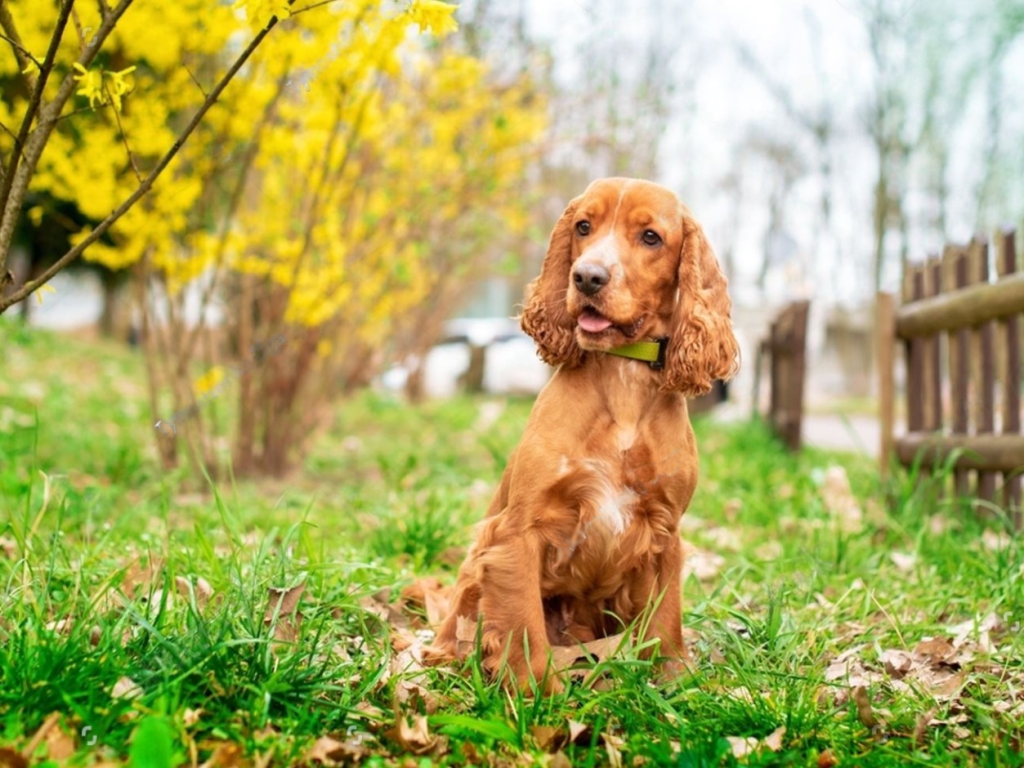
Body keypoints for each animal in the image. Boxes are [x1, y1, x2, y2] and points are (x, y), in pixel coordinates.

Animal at [421, 179, 737, 692]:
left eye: (651, 236)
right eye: (583, 227)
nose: (587, 277)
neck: (622, 374)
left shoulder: (665, 532)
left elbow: (666, 617)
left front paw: (672, 682)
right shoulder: (517, 532)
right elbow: (524, 624)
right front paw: (535, 695)